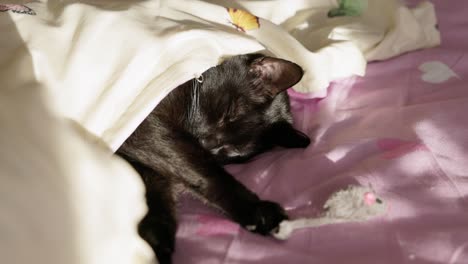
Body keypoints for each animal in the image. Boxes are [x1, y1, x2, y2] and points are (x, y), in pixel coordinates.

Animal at [116, 52, 310, 262]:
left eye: (232, 151)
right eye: (229, 112)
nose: (205, 144)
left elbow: (160, 194)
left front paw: (157, 247)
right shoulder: (146, 123)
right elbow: (203, 170)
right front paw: (258, 212)